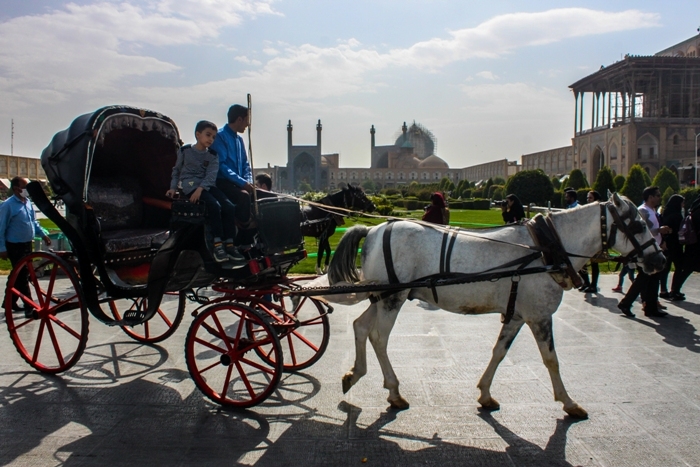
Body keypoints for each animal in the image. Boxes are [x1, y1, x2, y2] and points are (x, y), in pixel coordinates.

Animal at [330, 192, 668, 418]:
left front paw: (485, 393)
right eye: (638, 225)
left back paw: (354, 374)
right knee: (378, 337)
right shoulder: (539, 315)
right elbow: (551, 360)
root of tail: (373, 230)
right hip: (393, 297)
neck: (547, 250)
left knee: (361, 326)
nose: (659, 260)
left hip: (382, 295)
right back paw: (394, 391)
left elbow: (499, 351)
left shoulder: (517, 313)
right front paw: (568, 401)